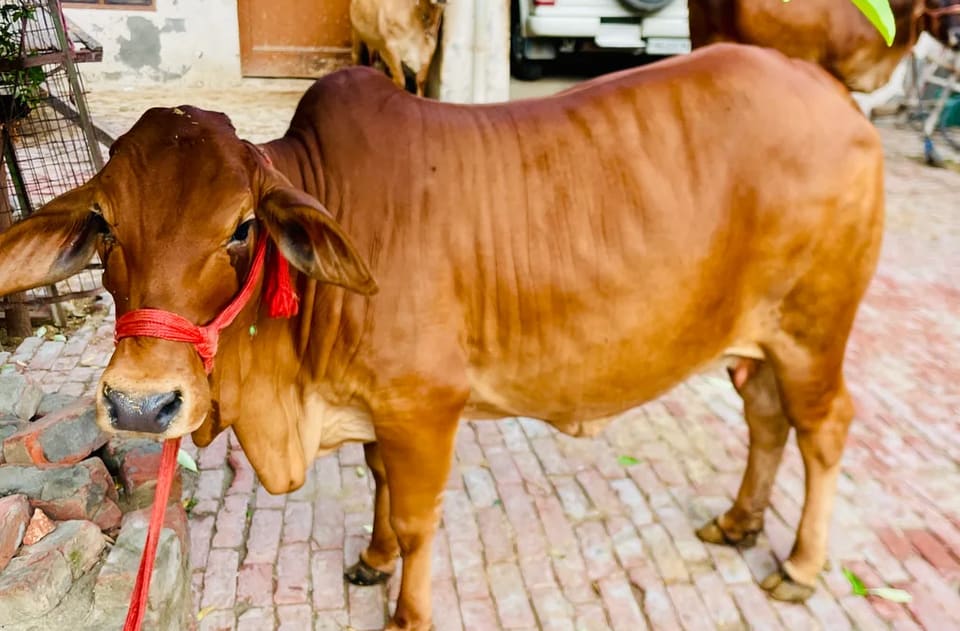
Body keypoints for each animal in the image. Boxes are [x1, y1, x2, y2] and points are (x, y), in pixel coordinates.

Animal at [0, 43, 884, 630]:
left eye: (242, 227)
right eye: (106, 226)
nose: (139, 405)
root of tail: (828, 91)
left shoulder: (425, 408)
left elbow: (420, 517)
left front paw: (407, 608)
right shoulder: (379, 412)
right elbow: (379, 483)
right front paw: (373, 558)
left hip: (814, 332)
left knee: (825, 428)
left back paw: (799, 564)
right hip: (757, 342)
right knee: (765, 418)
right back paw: (738, 521)